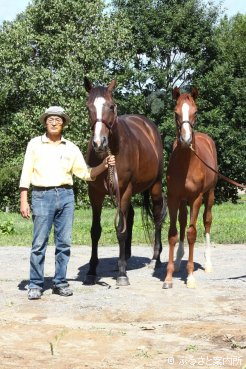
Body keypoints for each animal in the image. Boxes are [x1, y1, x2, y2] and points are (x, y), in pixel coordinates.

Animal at [83, 77, 166, 284]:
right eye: (88, 107)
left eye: (111, 106)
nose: (99, 143)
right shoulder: (95, 193)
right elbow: (95, 231)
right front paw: (91, 271)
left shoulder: (125, 190)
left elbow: (121, 229)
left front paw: (122, 275)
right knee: (131, 216)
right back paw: (126, 258)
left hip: (154, 187)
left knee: (158, 218)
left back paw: (156, 259)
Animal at [163, 86, 217, 288]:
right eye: (175, 112)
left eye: (196, 111)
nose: (186, 140)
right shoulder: (173, 198)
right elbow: (173, 233)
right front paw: (169, 276)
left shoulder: (196, 198)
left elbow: (192, 233)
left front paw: (191, 277)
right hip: (182, 201)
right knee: (182, 222)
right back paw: (179, 261)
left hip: (210, 194)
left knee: (207, 221)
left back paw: (208, 263)